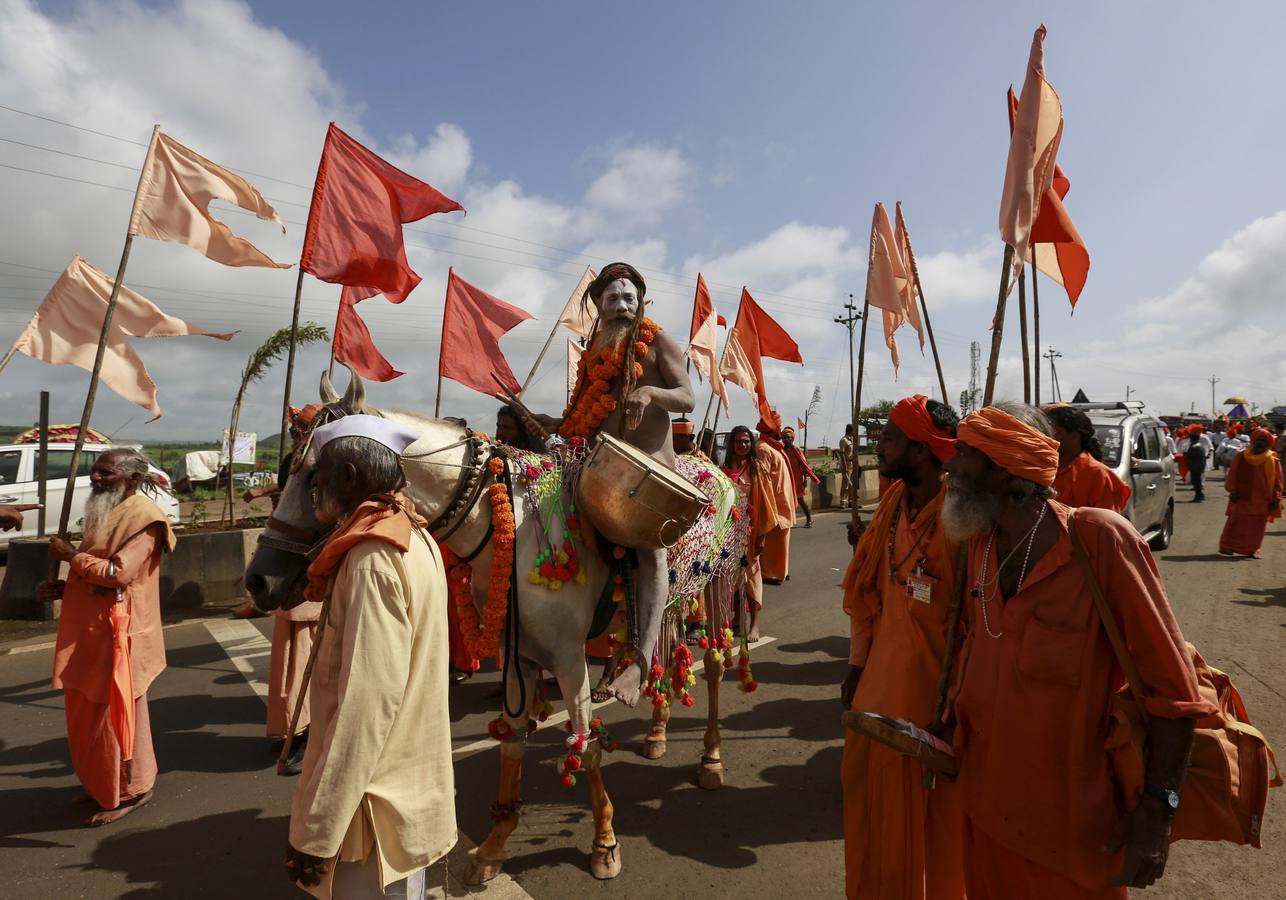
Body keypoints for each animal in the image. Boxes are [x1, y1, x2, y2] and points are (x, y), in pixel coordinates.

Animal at [244, 370, 740, 884]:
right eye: (286, 468)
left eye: (313, 477)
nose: (259, 580)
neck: (507, 525)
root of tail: (714, 467)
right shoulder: (518, 654)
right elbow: (513, 741)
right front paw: (493, 847)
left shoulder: (568, 658)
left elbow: (585, 746)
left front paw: (604, 842)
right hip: (674, 603)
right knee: (662, 649)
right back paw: (656, 731)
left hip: (717, 584)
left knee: (715, 666)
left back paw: (710, 758)